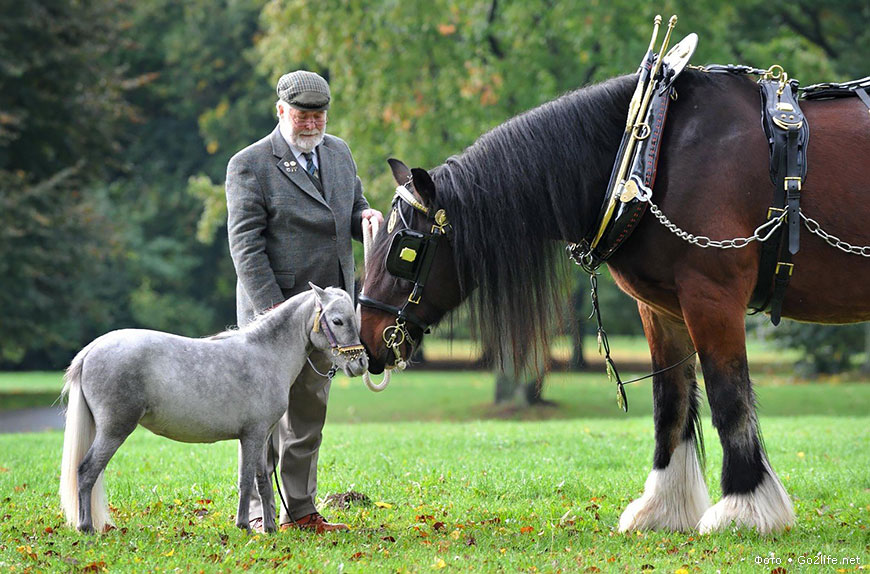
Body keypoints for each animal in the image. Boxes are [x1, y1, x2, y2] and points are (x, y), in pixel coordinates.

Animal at [59, 284, 368, 536]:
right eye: (338, 320)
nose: (361, 364)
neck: (266, 354)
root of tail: (92, 349)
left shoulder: (260, 437)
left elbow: (262, 480)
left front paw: (267, 528)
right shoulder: (252, 436)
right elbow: (247, 480)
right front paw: (245, 527)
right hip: (114, 430)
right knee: (86, 472)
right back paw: (86, 528)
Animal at [360, 68, 870, 536]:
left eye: (404, 248)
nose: (367, 339)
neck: (648, 151)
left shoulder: (713, 295)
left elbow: (728, 397)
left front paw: (744, 507)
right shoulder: (663, 309)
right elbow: (670, 401)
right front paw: (663, 507)